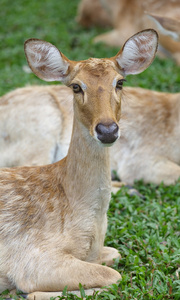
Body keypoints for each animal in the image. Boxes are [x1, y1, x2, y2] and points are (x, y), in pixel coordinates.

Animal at [0, 28, 158, 300]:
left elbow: (115, 255)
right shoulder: (30, 257)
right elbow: (113, 277)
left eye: (120, 82)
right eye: (76, 86)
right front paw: (25, 292)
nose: (107, 130)